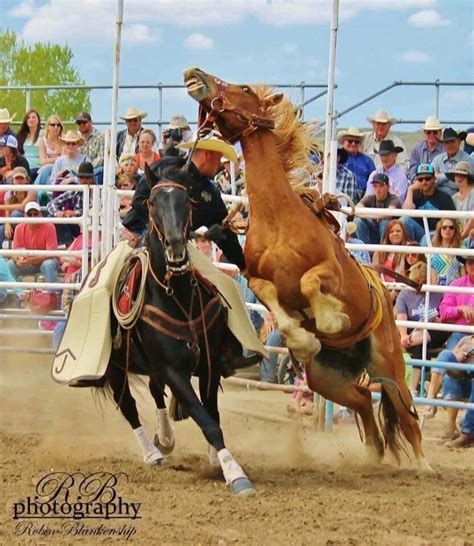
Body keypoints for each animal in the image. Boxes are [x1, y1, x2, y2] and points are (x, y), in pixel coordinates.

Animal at [103, 165, 254, 492]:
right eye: (151, 203)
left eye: (187, 202)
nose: (174, 245)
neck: (179, 298)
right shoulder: (174, 371)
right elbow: (205, 420)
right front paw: (235, 473)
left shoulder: (209, 365)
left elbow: (212, 413)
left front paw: (216, 459)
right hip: (115, 368)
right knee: (128, 406)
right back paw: (152, 453)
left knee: (154, 389)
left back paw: (165, 438)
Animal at [184, 67, 434, 472]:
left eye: (244, 87)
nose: (195, 75)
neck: (278, 216)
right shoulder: (256, 279)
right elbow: (274, 297)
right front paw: (305, 339)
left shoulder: (329, 269)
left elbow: (309, 281)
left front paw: (331, 319)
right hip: (326, 378)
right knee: (363, 399)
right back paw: (372, 455)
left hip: (388, 361)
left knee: (405, 413)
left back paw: (423, 467)